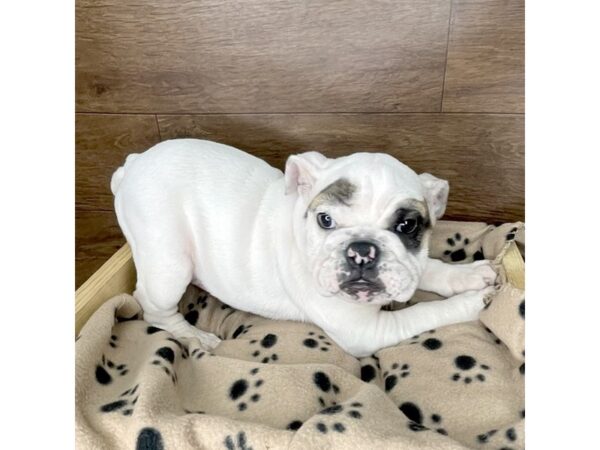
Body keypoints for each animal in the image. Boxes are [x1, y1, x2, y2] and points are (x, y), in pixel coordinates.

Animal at [112, 139, 496, 356]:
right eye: (325, 220)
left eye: (407, 226)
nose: (362, 249)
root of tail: (132, 163)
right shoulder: (366, 332)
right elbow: (426, 312)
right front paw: (474, 302)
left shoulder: (409, 266)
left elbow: (431, 268)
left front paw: (471, 275)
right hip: (169, 264)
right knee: (153, 308)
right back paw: (194, 337)